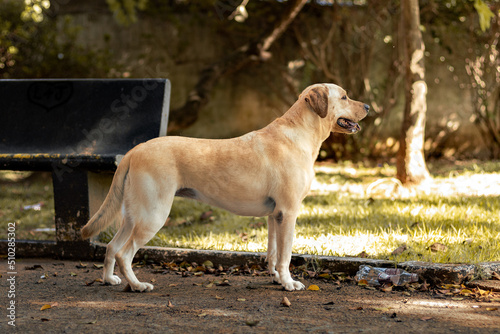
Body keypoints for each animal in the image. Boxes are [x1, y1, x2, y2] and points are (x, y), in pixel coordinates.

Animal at [81, 84, 368, 292]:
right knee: (124, 253)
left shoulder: (275, 216)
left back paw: (109, 280)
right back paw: (138, 285)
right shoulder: (288, 213)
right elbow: (285, 254)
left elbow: (273, 253)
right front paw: (289, 283)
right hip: (153, 215)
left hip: (132, 216)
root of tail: (134, 150)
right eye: (344, 96)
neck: (299, 134)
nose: (367, 105)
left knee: (112, 248)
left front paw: (277, 278)